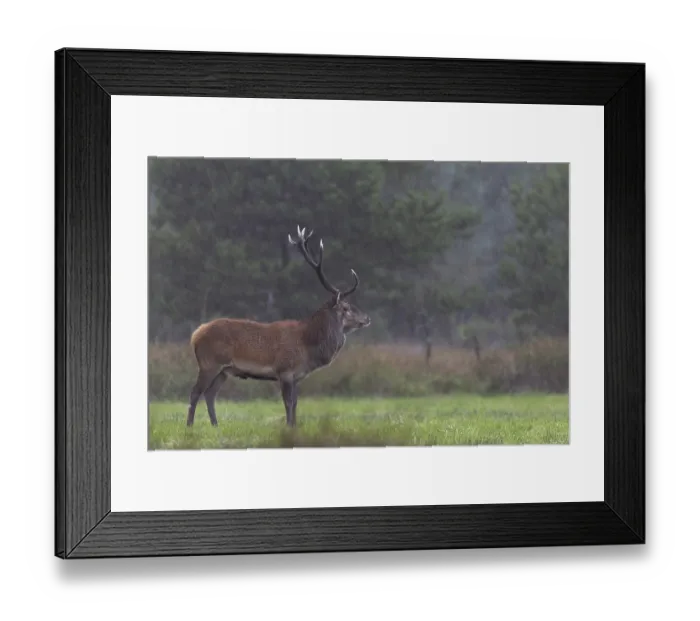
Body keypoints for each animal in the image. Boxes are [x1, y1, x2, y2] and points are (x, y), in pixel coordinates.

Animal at [186, 225, 371, 428]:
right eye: (346, 308)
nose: (367, 318)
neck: (308, 345)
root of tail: (195, 334)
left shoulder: (297, 376)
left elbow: (296, 403)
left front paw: (295, 426)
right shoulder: (285, 370)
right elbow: (288, 402)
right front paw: (288, 426)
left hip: (224, 370)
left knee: (210, 394)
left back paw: (215, 425)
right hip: (209, 363)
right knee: (195, 392)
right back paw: (190, 426)